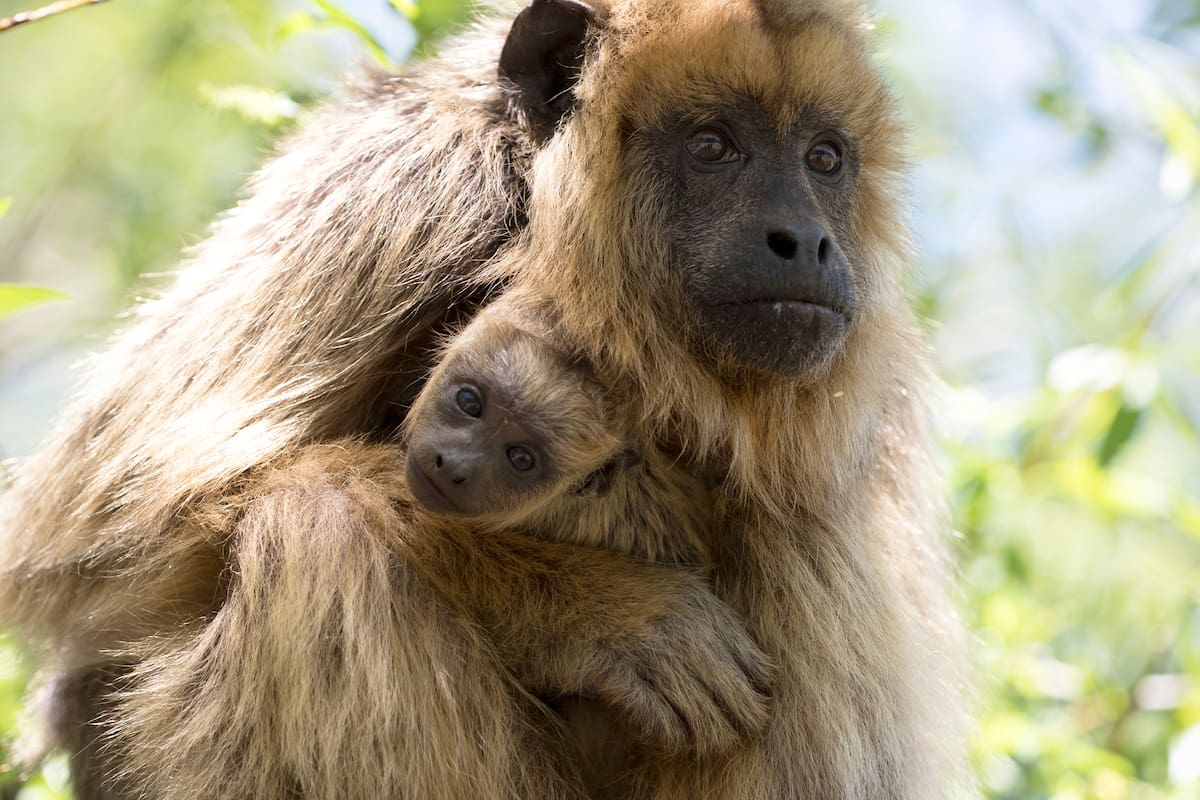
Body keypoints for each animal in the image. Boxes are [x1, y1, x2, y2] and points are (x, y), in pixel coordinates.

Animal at [0, 1, 971, 799]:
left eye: (824, 158)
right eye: (712, 145)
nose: (803, 239)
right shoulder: (407, 186)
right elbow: (105, 542)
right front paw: (603, 610)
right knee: (316, 528)